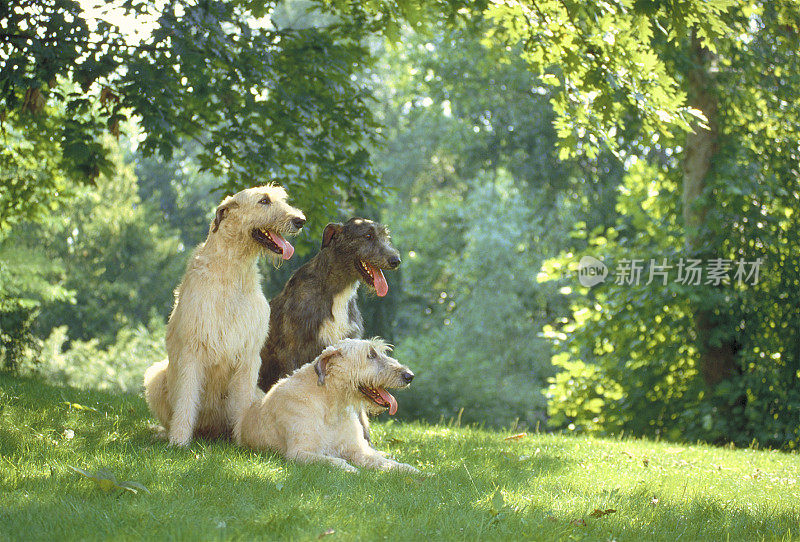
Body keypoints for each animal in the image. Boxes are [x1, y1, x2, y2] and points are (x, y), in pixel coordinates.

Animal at [144, 185, 306, 448]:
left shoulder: (249, 357)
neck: (233, 273)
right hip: (156, 378)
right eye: (264, 200)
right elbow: (186, 397)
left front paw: (243, 440)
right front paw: (178, 441)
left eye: (282, 199)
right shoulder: (192, 350)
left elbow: (241, 403)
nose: (300, 220)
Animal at [239, 338, 418, 474]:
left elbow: (383, 461)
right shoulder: (299, 452)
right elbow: (333, 461)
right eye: (371, 355)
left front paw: (411, 470)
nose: (409, 376)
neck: (331, 405)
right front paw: (350, 469)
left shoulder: (356, 449)